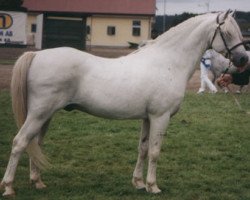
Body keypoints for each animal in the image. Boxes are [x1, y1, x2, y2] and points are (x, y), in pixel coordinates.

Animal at [0, 10, 248, 195]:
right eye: (227, 32)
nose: (243, 59)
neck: (168, 62)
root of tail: (37, 55)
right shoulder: (161, 117)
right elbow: (155, 152)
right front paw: (153, 186)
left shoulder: (148, 118)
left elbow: (143, 149)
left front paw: (138, 183)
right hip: (39, 114)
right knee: (20, 142)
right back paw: (9, 187)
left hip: (46, 115)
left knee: (36, 144)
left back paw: (37, 182)